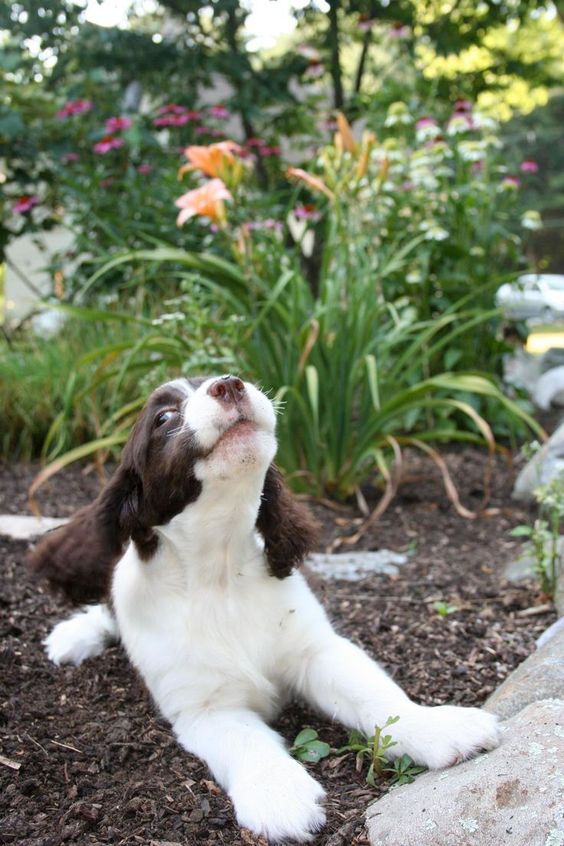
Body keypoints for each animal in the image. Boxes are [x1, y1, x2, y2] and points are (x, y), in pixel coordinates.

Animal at [30, 380, 500, 846]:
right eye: (163, 417)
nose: (229, 384)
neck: (219, 575)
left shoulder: (318, 652)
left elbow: (378, 696)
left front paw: (437, 727)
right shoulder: (205, 708)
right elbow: (247, 741)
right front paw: (279, 796)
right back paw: (74, 635)